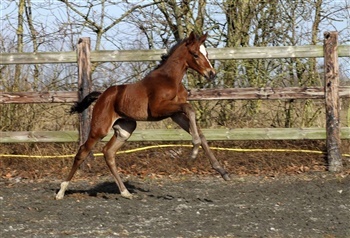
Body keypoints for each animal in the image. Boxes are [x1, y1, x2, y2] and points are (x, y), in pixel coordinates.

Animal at [55, 31, 230, 199]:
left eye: (206, 53)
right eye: (195, 54)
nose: (211, 73)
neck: (169, 79)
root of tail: (102, 96)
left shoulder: (175, 114)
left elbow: (200, 131)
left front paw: (222, 171)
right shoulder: (158, 109)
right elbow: (190, 108)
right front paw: (193, 153)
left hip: (126, 129)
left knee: (108, 152)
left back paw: (125, 192)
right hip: (100, 128)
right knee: (83, 151)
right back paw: (61, 191)